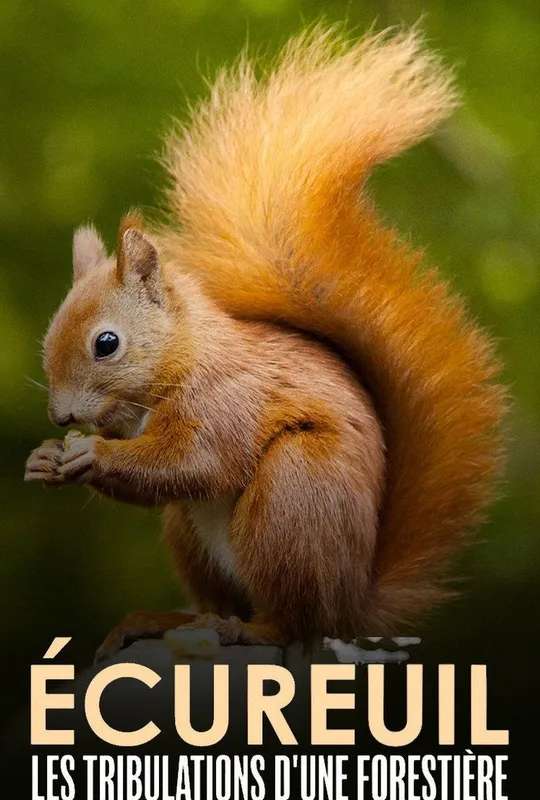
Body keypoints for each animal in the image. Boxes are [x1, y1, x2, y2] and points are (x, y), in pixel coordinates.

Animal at [25, 26, 505, 659]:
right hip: (192, 535)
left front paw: (91, 454)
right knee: (217, 599)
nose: (61, 418)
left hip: (291, 497)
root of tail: (350, 605)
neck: (182, 357)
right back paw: (161, 620)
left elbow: (193, 462)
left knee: (291, 621)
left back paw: (251, 628)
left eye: (107, 343)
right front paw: (43, 458)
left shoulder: (227, 401)